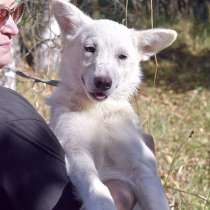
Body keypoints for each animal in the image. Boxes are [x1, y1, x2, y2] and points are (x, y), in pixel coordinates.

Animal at [48, 0, 177, 209]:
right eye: (90, 48)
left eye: (122, 56)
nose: (103, 82)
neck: (99, 110)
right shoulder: (75, 150)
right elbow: (98, 188)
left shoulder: (142, 163)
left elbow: (158, 201)